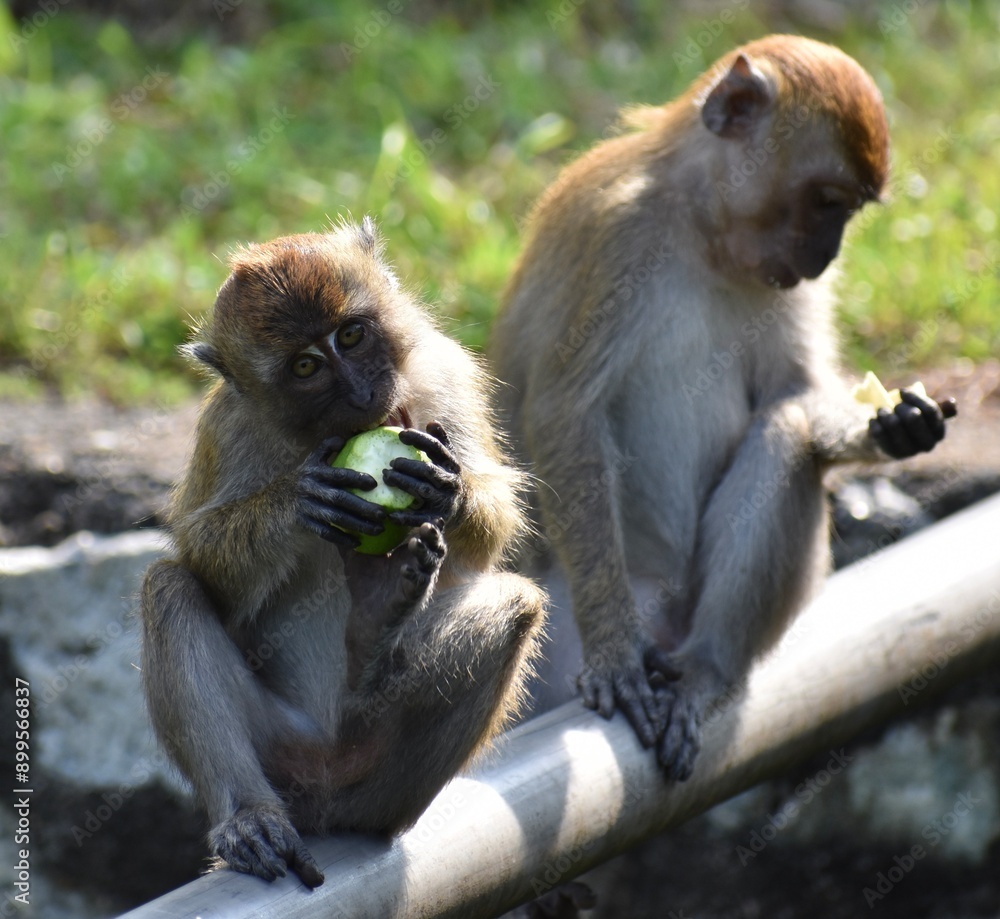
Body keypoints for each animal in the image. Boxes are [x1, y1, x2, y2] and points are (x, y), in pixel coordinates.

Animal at [139, 218, 545, 888]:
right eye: (306, 366)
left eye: (351, 335)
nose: (359, 392)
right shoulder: (229, 429)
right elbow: (203, 561)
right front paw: (297, 501)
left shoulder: (447, 373)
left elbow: (492, 534)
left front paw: (447, 490)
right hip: (282, 749)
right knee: (168, 588)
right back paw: (250, 817)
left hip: (374, 751)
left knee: (515, 605)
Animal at [490, 35, 954, 783]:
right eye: (826, 200)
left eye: (847, 211)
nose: (825, 256)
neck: (700, 227)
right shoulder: (614, 235)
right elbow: (567, 410)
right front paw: (614, 650)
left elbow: (794, 394)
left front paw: (891, 427)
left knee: (786, 434)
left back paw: (706, 669)